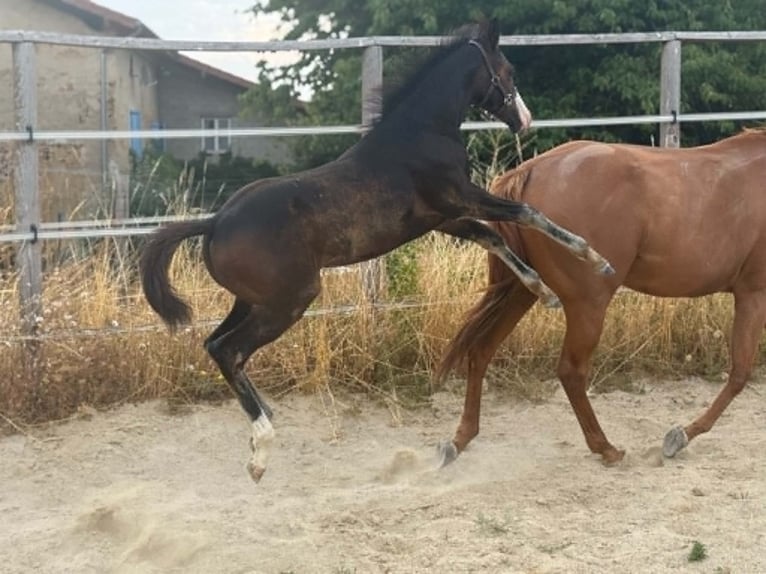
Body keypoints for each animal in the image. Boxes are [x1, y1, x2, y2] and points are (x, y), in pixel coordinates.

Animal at [140, 19, 612, 483]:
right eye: (507, 71)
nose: (525, 120)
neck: (420, 133)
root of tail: (215, 222)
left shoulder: (445, 217)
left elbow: (493, 237)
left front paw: (544, 291)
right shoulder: (461, 198)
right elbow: (528, 213)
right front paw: (596, 259)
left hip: (251, 300)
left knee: (214, 344)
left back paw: (260, 434)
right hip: (288, 300)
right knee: (228, 349)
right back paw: (262, 449)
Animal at [437, 128, 766, 467]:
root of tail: (530, 170)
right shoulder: (753, 293)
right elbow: (741, 373)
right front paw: (678, 437)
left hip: (522, 290)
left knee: (481, 349)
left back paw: (459, 439)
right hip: (588, 304)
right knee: (570, 371)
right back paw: (605, 447)